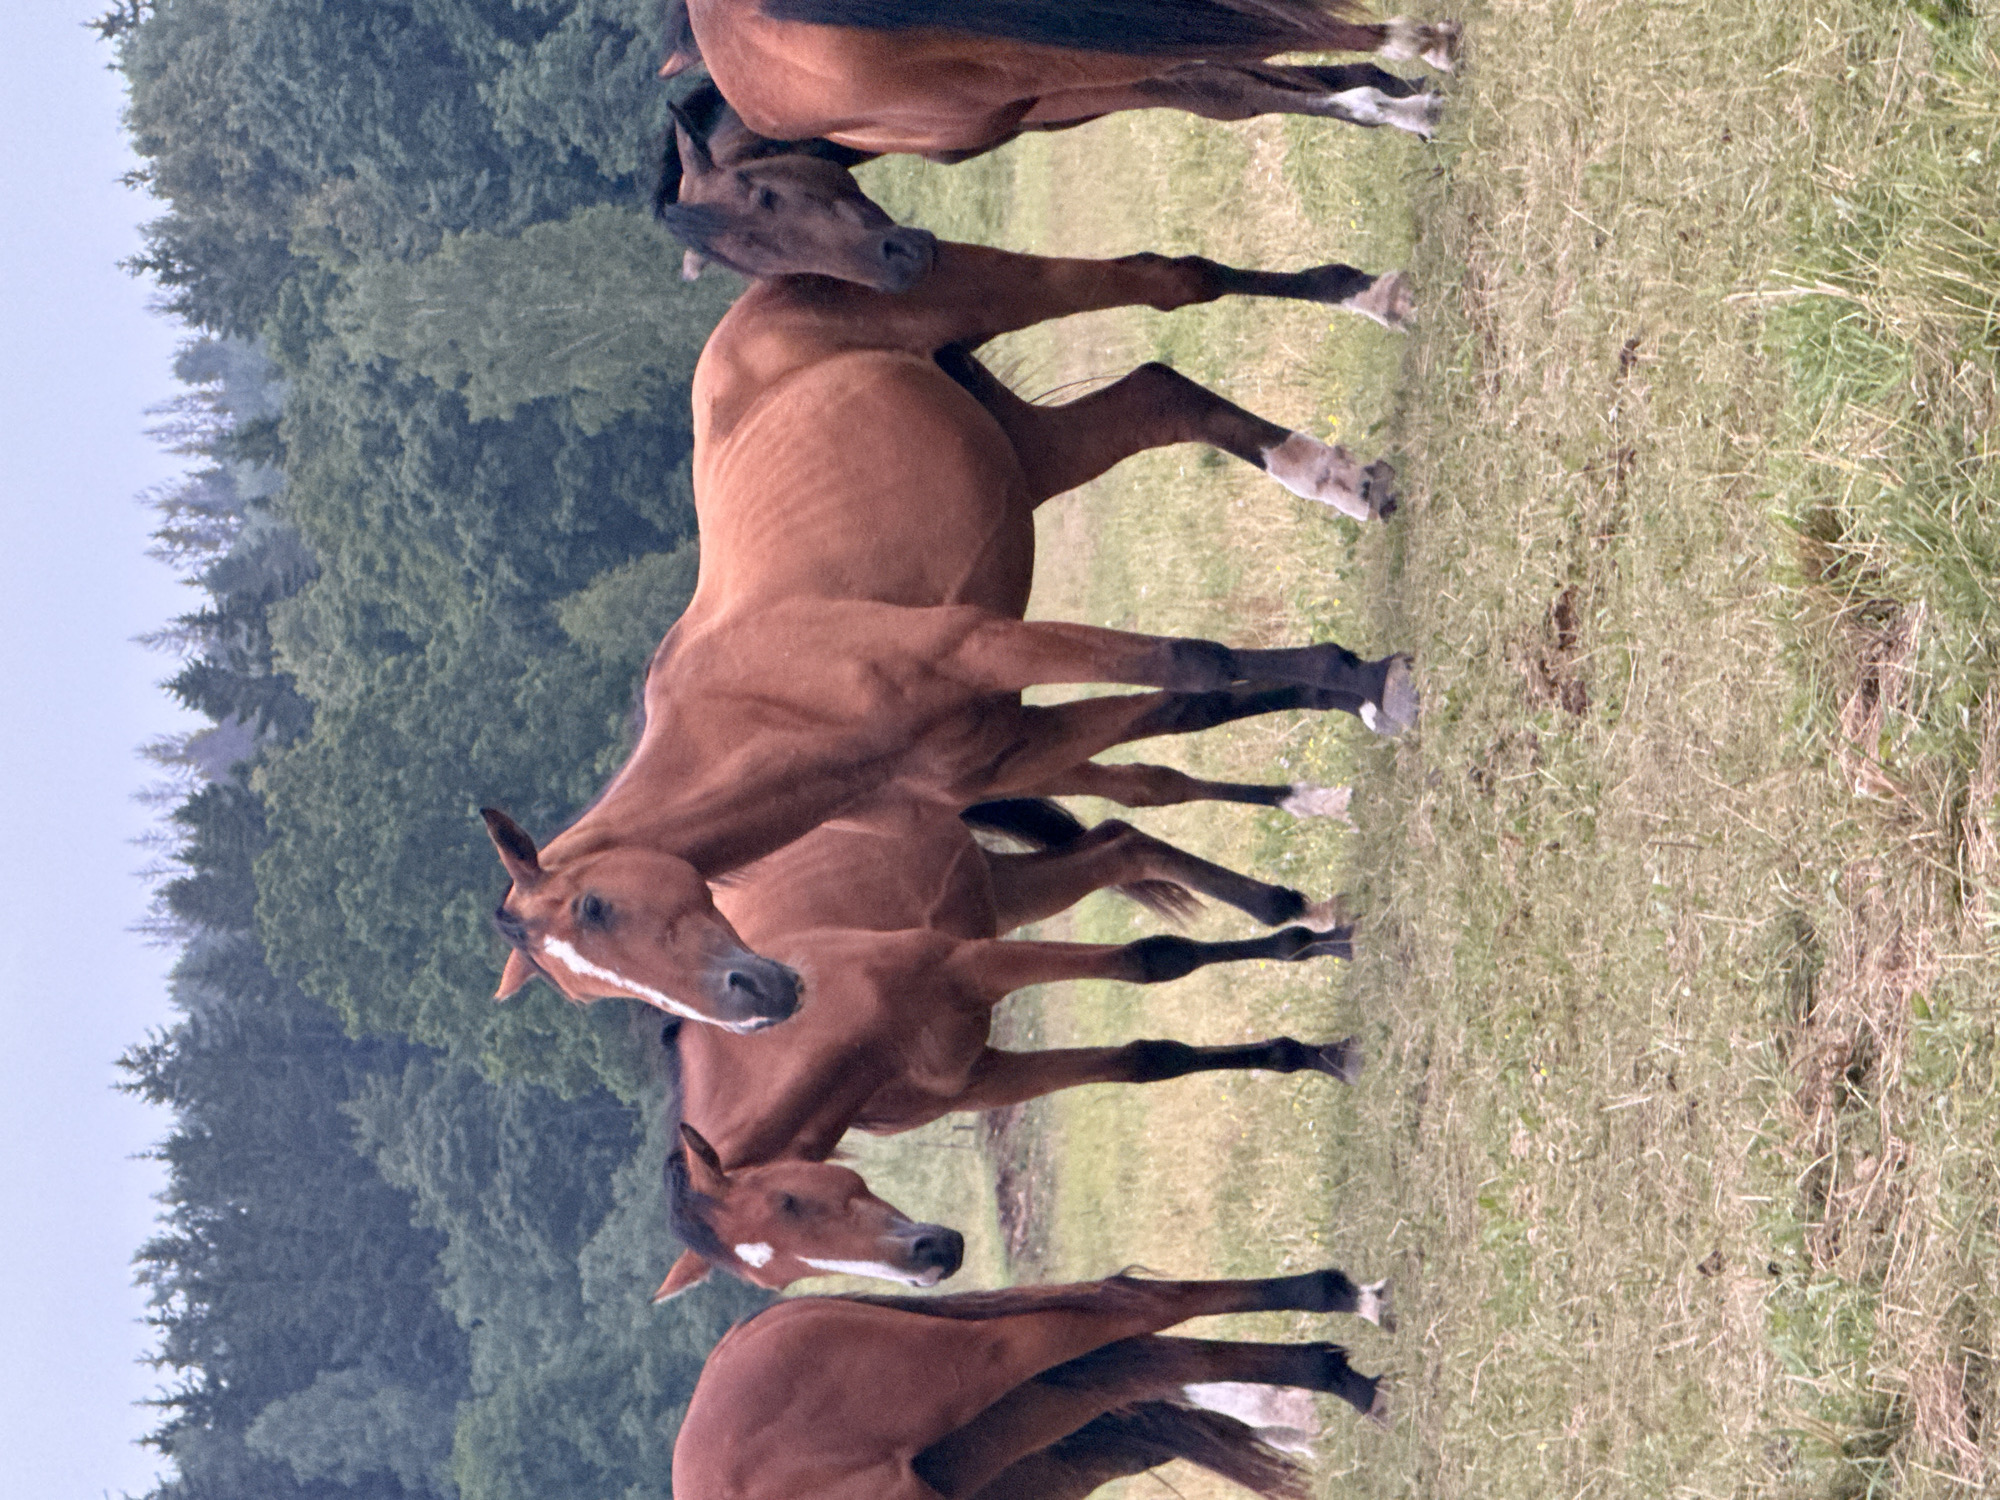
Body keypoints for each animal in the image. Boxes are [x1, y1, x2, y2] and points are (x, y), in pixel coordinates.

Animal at [483, 216, 1418, 1031]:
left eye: (596, 906)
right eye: (591, 990)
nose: (754, 1004)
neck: (776, 702)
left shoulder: (982, 643)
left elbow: (1198, 665)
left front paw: (1375, 683)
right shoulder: (1013, 744)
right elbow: (1187, 711)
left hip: (998, 294)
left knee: (1169, 280)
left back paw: (1374, 300)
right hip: (1035, 454)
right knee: (1160, 394)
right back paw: (1337, 476)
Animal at [653, 795, 1366, 1296]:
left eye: (790, 1200)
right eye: (786, 1277)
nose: (931, 1262)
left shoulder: (975, 966)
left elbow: (1156, 959)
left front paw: (1331, 1037)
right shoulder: (983, 1079)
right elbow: (1149, 1060)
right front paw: (1311, 1054)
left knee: (1123, 851)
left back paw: (1291, 913)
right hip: (999, 888)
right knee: (1121, 845)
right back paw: (1300, 924)